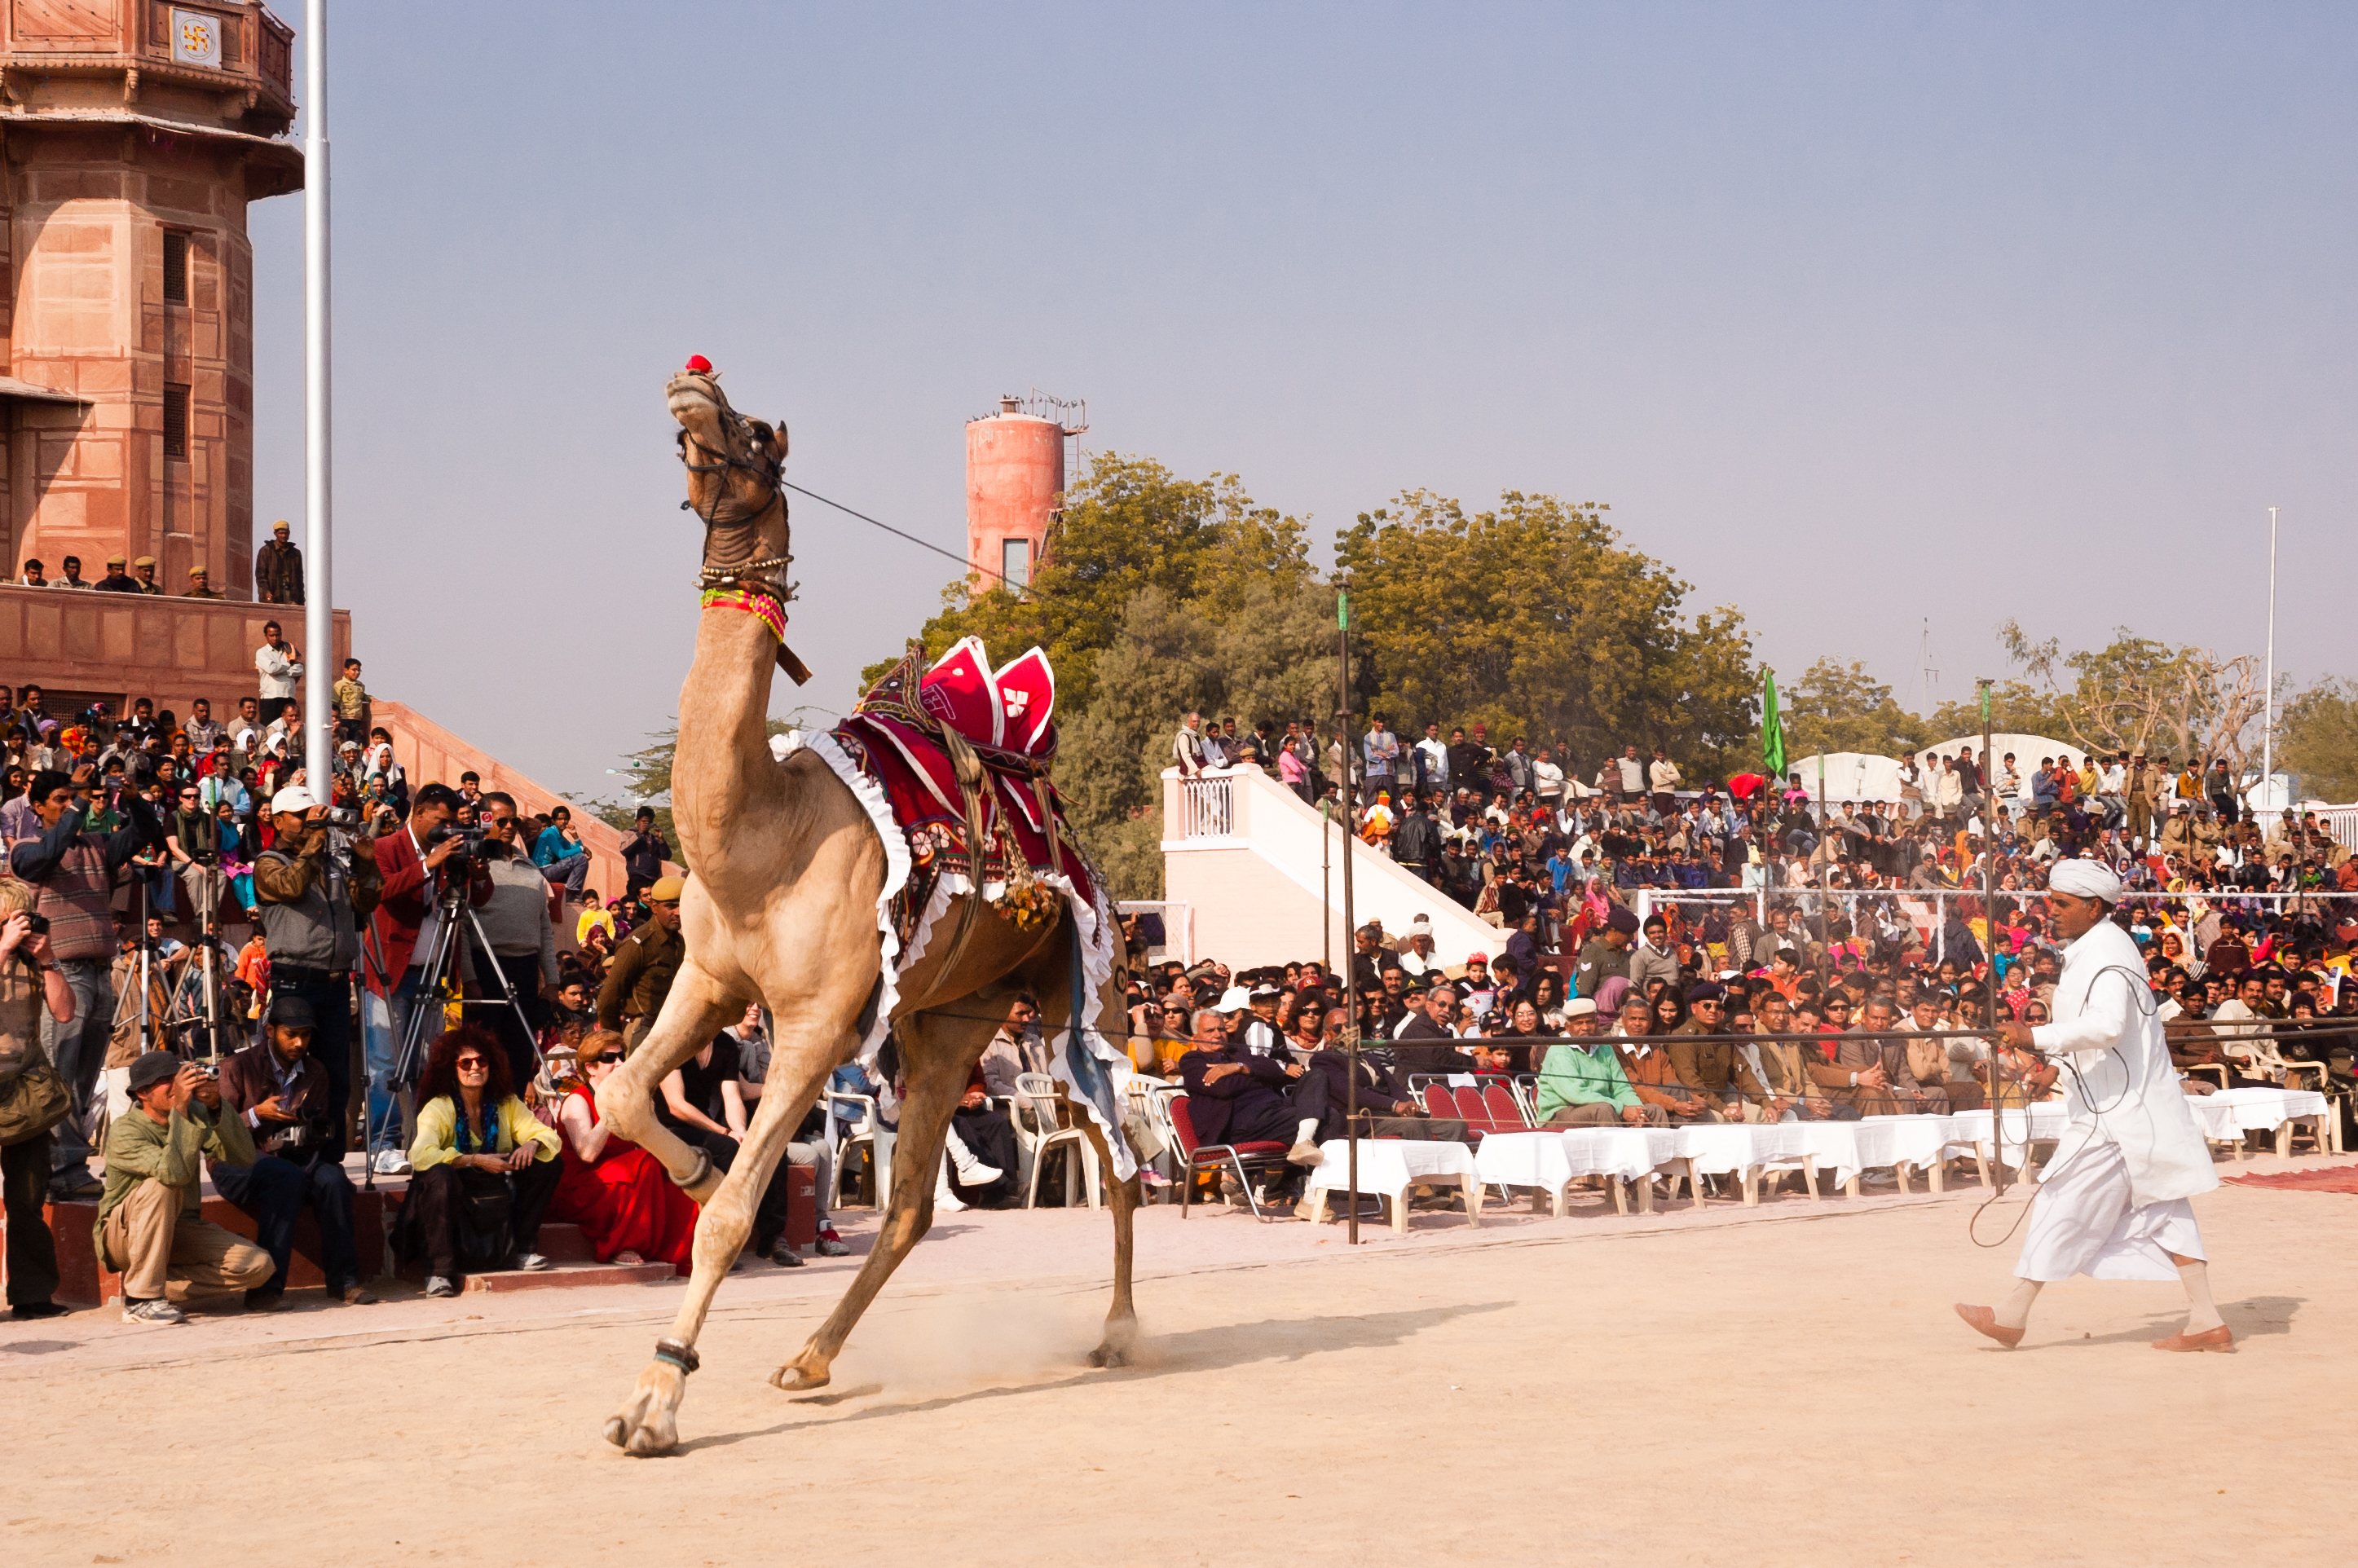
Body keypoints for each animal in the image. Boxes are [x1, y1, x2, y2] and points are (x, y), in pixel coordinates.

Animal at [594, 360, 1136, 1452]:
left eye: (758, 434)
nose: (692, 384)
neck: (760, 836)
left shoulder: (814, 1020)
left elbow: (730, 1216)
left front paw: (655, 1400)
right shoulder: (712, 979)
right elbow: (624, 1093)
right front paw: (694, 1170)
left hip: (1079, 990)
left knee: (1123, 1156)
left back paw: (1119, 1332)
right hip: (950, 1018)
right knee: (913, 1203)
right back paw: (808, 1358)